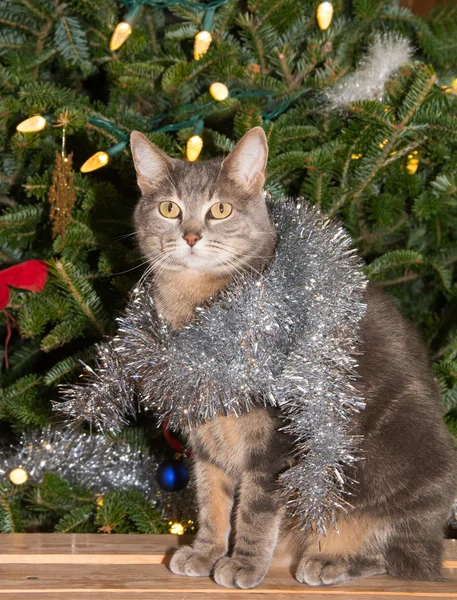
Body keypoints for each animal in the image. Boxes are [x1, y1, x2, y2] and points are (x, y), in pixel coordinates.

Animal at [129, 124, 456, 588]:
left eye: (221, 209)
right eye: (169, 208)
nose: (191, 236)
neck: (199, 309)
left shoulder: (277, 441)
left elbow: (255, 509)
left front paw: (244, 565)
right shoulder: (204, 437)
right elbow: (211, 502)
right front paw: (205, 552)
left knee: (398, 556)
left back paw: (329, 561)